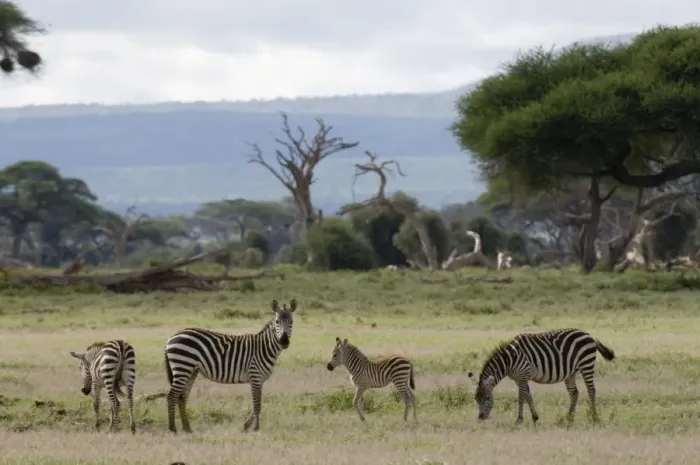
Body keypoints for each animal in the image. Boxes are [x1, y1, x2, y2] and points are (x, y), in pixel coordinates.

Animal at [164, 298, 297, 433]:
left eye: (291, 322)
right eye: (277, 321)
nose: (284, 341)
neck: (264, 348)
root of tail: (171, 337)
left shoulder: (260, 380)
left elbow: (258, 404)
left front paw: (247, 425)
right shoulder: (255, 376)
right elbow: (257, 405)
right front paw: (255, 428)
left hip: (191, 370)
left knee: (182, 397)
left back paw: (187, 428)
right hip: (183, 367)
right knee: (172, 396)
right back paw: (173, 428)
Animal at [468, 328, 615, 425]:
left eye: (488, 398)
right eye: (476, 398)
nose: (481, 418)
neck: (510, 359)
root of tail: (589, 335)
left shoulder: (523, 374)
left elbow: (521, 397)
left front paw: (519, 420)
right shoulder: (519, 378)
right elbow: (528, 396)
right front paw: (535, 417)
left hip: (586, 364)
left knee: (591, 390)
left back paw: (594, 418)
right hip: (571, 371)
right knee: (574, 393)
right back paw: (570, 418)